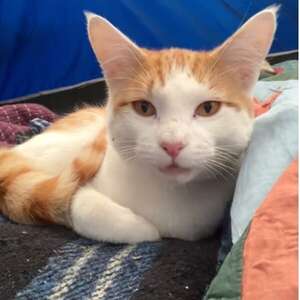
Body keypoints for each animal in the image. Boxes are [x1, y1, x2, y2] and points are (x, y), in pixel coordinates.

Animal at [0, 6, 278, 244]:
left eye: (208, 108)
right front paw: (142, 228)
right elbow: (80, 205)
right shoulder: (79, 187)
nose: (172, 144)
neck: (168, 194)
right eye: (144, 108)